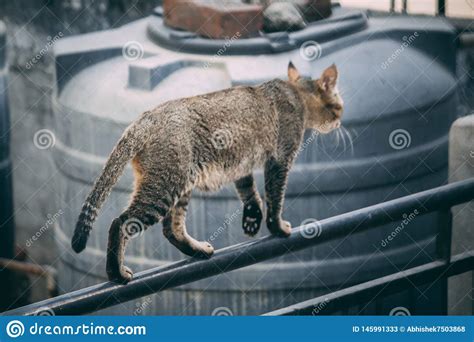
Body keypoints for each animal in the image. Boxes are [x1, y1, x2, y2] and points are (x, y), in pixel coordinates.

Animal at [72, 62, 342, 284]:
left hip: (180, 185)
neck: (295, 93)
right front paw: (278, 227)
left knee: (172, 229)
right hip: (164, 187)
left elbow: (250, 193)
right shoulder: (280, 159)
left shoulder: (241, 165)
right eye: (339, 102)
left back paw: (198, 250)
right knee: (121, 223)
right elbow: (275, 197)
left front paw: (252, 220)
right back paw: (116, 273)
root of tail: (144, 119)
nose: (340, 120)